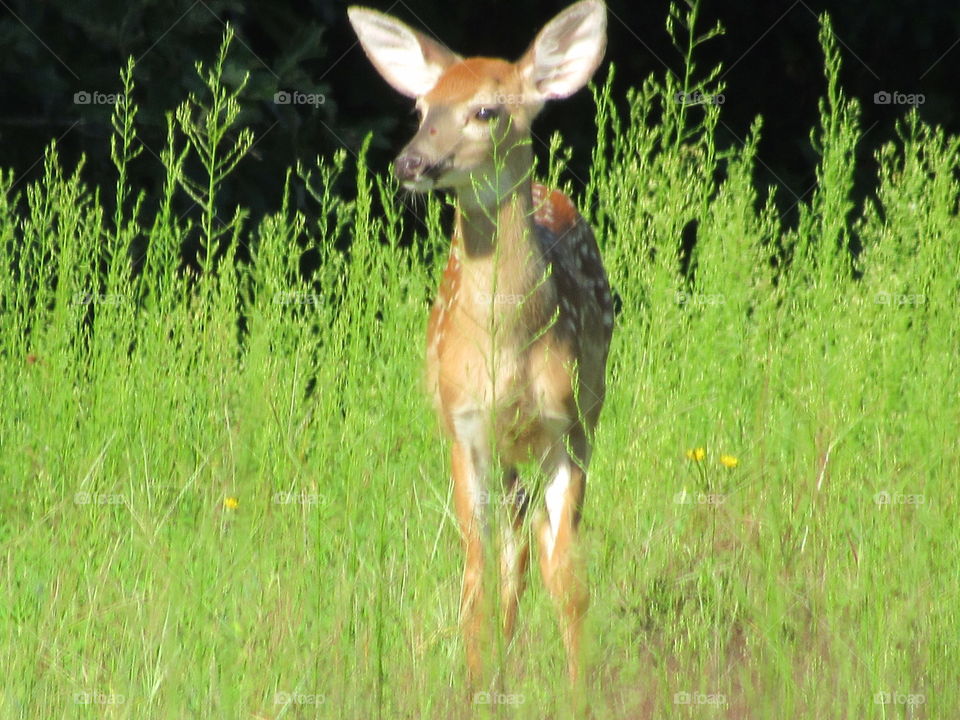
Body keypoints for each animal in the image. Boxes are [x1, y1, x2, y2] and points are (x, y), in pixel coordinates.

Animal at [347, 0, 613, 690]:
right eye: (421, 109)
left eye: (487, 111)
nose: (409, 163)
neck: (505, 352)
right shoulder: (463, 426)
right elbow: (474, 578)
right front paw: (473, 686)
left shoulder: (565, 427)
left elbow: (569, 579)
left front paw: (579, 693)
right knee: (511, 550)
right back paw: (502, 668)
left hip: (581, 417)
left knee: (529, 545)